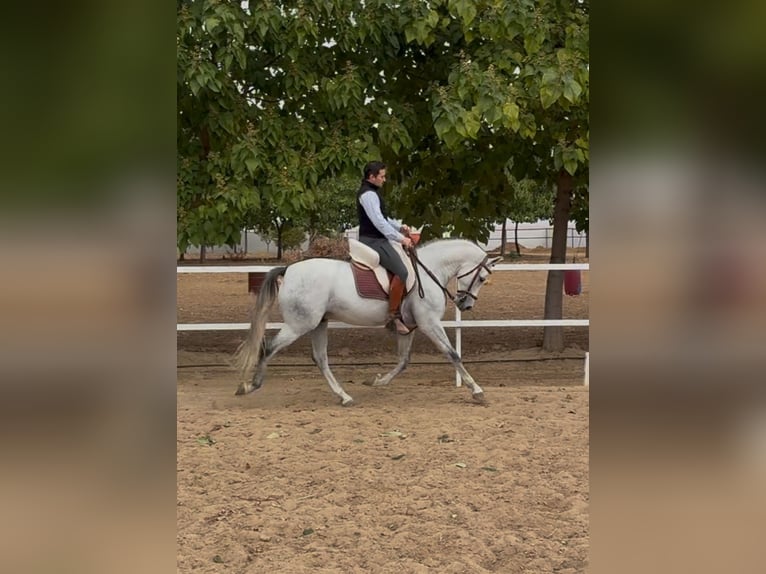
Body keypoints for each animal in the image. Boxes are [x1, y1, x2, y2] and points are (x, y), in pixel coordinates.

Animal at [233, 238, 501, 405]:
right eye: (482, 278)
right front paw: (477, 391)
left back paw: (344, 397)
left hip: (318, 324)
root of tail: (289, 270)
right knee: (268, 348)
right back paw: (250, 386)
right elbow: (452, 354)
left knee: (320, 359)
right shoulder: (429, 323)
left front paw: (377, 381)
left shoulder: (409, 328)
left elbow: (403, 361)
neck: (428, 271)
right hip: (300, 325)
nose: (466, 305)